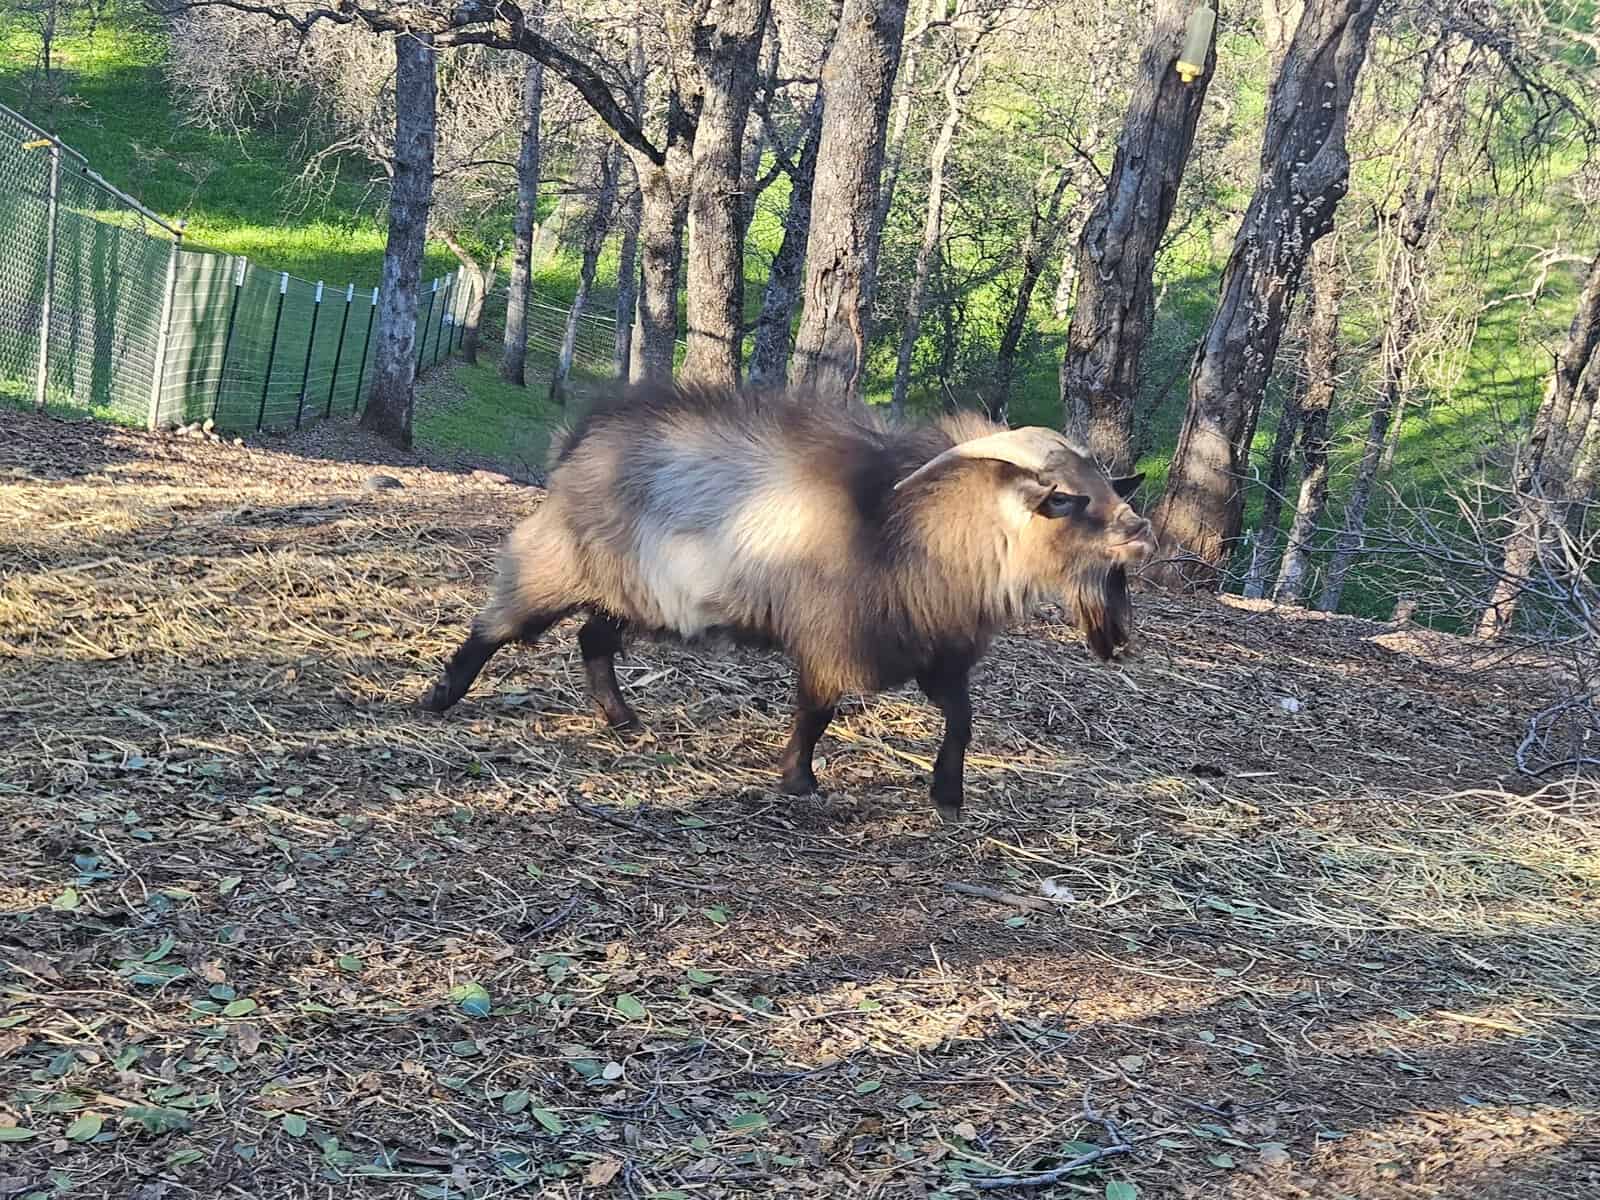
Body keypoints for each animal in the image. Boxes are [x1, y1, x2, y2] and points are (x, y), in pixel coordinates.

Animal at [421, 382, 1155, 820]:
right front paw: (798, 781)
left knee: (592, 641)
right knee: (498, 624)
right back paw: (439, 697)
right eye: (1071, 499)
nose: (1141, 532)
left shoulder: (932, 650)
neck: (909, 525)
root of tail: (581, 437)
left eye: (1104, 487)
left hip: (627, 591)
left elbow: (962, 721)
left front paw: (947, 796)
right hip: (561, 562)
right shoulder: (833, 637)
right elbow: (817, 712)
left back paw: (622, 719)